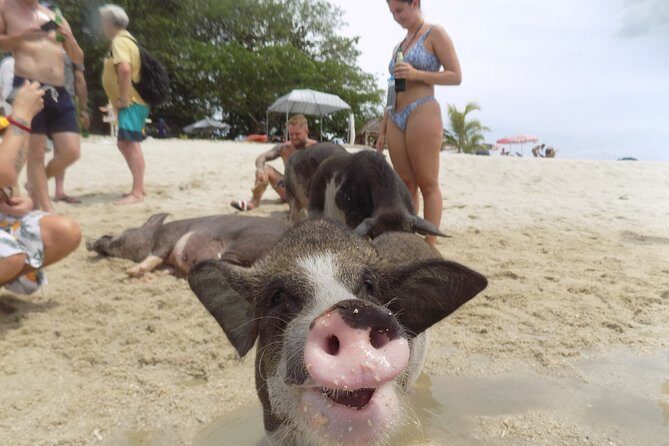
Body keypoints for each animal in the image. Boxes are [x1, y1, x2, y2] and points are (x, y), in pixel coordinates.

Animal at [87, 214, 288, 278]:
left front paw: (131, 272)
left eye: (109, 235)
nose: (89, 242)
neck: (154, 234)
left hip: (244, 245)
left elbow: (155, 255)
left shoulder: (168, 236)